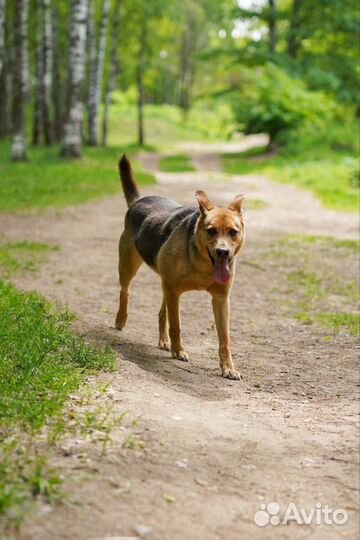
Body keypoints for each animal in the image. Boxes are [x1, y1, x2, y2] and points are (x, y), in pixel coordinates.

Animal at [115, 154, 245, 378]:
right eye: (211, 230)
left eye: (233, 232)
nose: (223, 252)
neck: (203, 265)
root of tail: (139, 200)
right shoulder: (174, 291)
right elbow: (176, 325)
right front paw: (179, 351)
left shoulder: (221, 299)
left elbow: (224, 339)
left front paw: (228, 368)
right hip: (129, 266)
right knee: (125, 291)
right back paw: (121, 319)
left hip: (165, 284)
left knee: (161, 313)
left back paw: (163, 341)